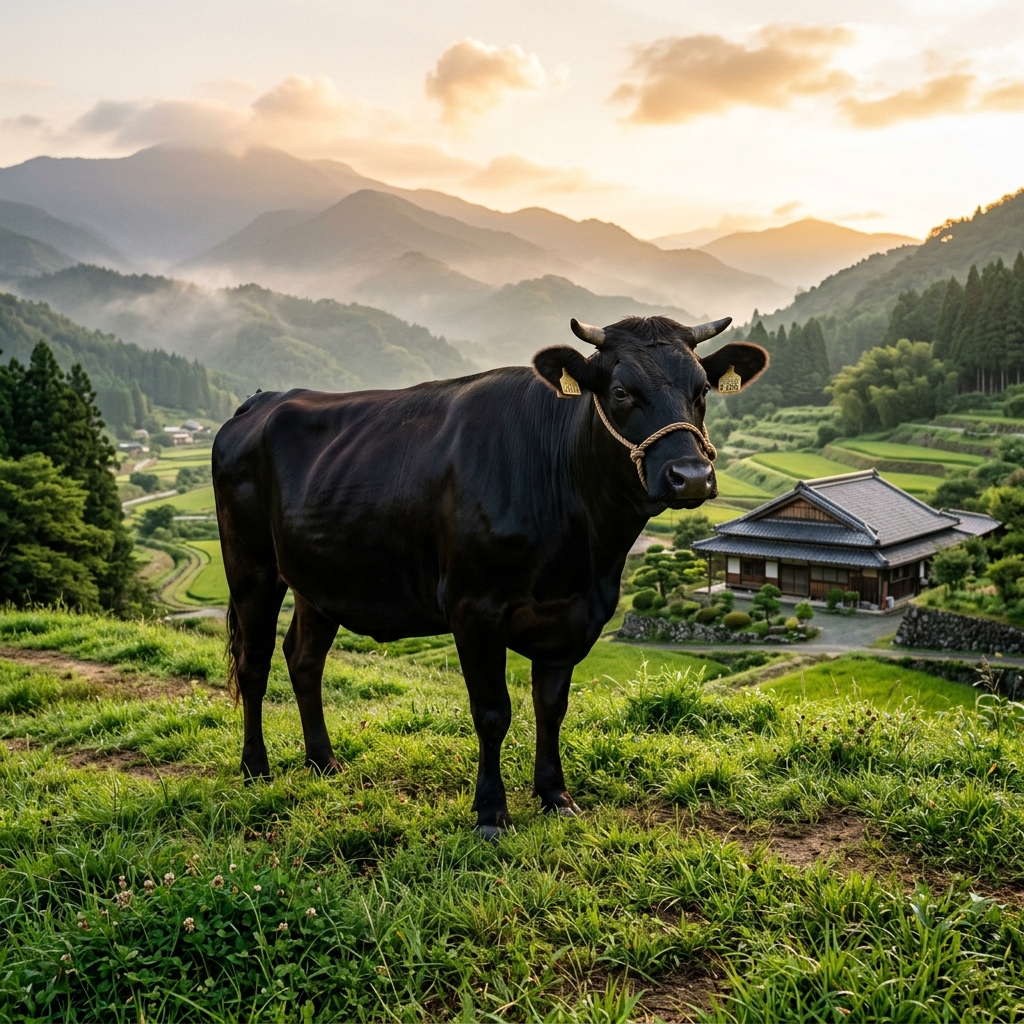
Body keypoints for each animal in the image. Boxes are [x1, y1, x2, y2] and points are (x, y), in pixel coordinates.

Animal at [212, 315, 768, 837]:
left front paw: (555, 796)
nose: (690, 476)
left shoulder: (572, 615)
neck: (581, 552)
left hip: (319, 579)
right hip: (251, 566)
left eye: (701, 391)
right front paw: (491, 813)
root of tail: (263, 400)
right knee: (254, 663)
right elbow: (493, 711)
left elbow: (551, 706)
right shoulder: (473, 607)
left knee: (304, 660)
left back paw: (323, 762)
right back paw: (255, 767)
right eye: (620, 391)